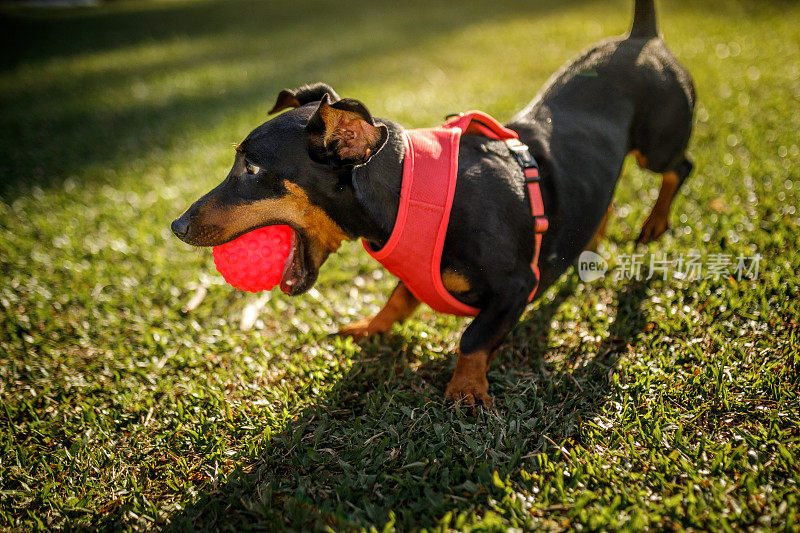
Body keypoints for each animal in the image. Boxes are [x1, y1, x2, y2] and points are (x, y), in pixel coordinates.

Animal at [173, 1, 692, 408]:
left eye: (251, 169)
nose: (176, 226)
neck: (410, 197)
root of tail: (641, 37)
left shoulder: (516, 286)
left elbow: (472, 336)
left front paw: (466, 388)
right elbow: (399, 298)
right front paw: (371, 326)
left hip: (656, 146)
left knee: (678, 168)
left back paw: (654, 222)